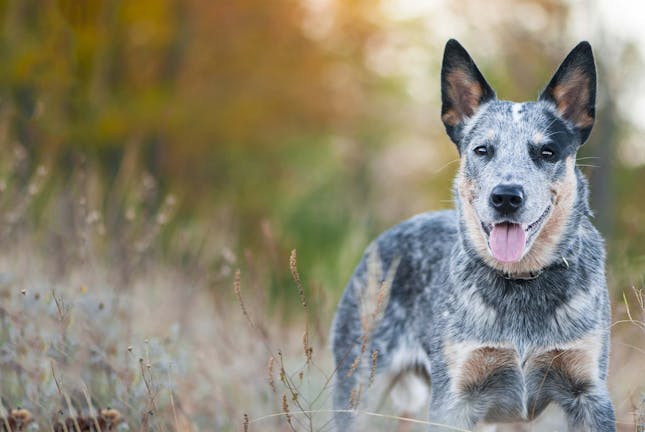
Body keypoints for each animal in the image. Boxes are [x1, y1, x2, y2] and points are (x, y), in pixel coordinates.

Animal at [332, 38, 612, 430]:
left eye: (547, 151)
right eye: (482, 149)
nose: (506, 197)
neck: (521, 282)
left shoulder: (588, 393)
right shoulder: (455, 397)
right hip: (358, 383)